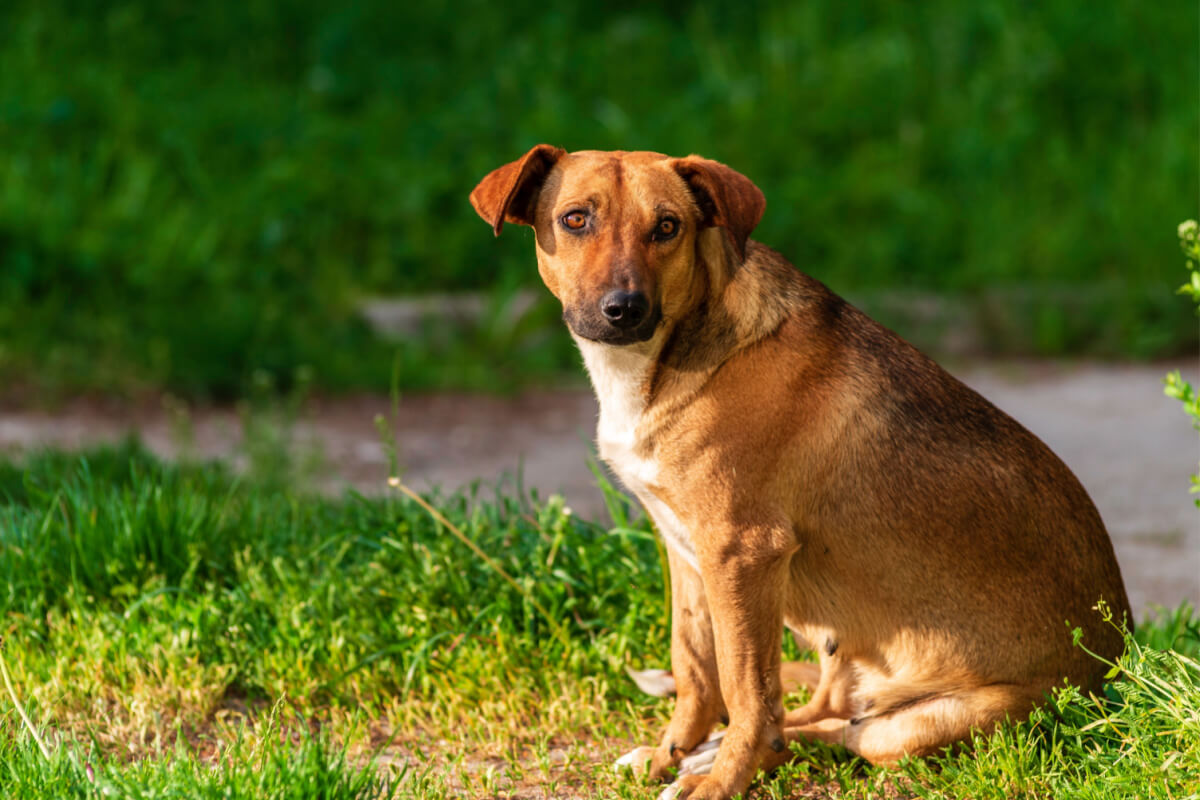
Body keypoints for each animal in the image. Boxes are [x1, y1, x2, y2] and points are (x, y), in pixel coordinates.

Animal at [465, 148, 1123, 800]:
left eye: (668, 227)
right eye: (575, 220)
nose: (623, 310)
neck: (662, 359)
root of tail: (1117, 674)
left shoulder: (743, 553)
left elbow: (744, 691)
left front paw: (721, 782)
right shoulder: (689, 554)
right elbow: (696, 670)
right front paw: (668, 754)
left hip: (929, 724)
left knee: (831, 730)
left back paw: (723, 759)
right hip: (841, 654)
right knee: (815, 716)